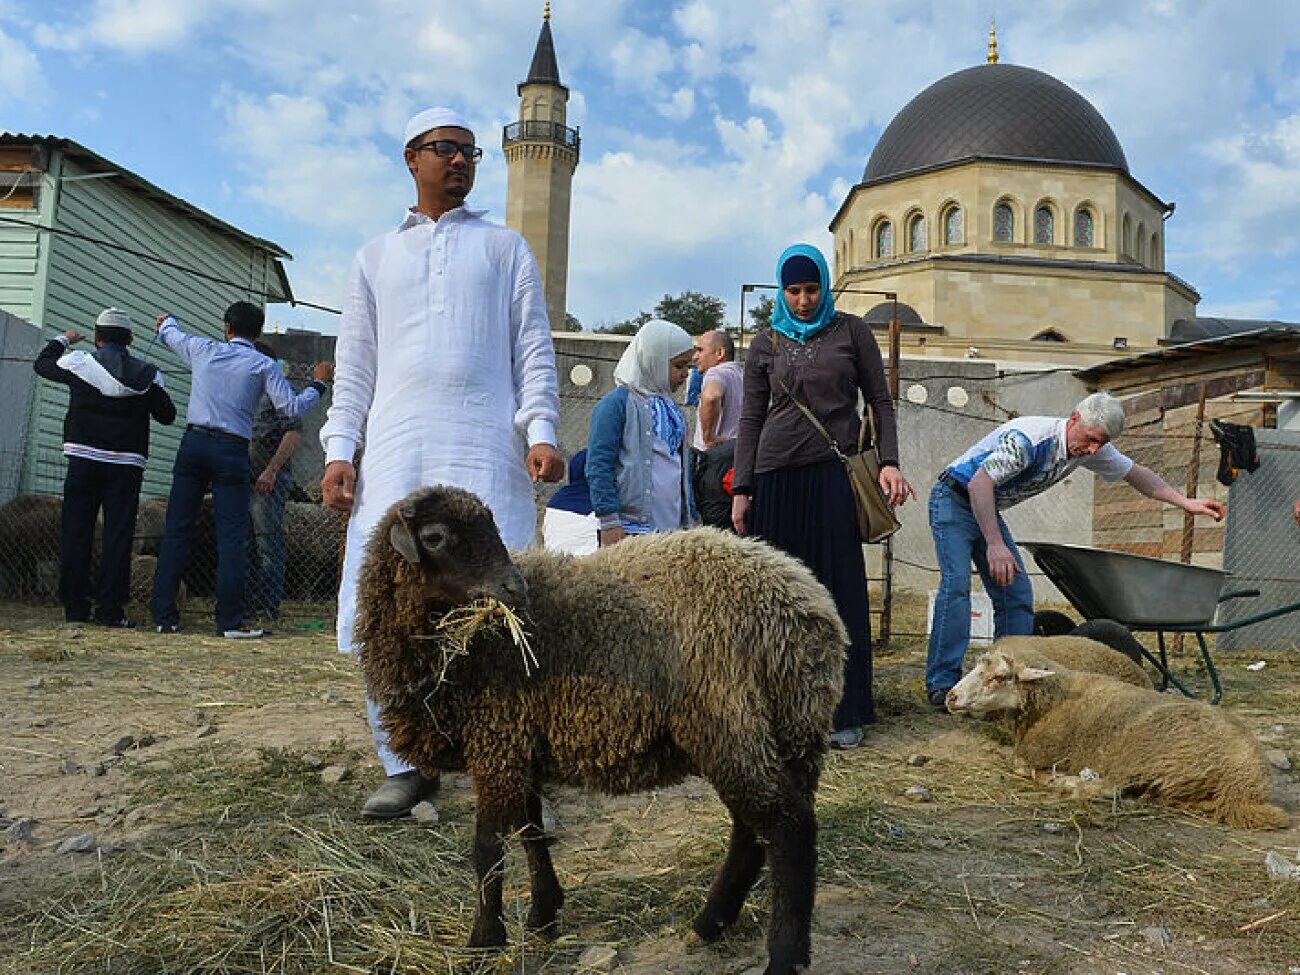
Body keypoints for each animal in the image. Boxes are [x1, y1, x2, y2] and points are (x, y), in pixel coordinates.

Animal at [353, 486, 852, 972]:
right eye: (435, 537)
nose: (514, 587)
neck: (463, 648)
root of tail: (812, 612)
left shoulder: (496, 742)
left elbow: (487, 849)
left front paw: (484, 941)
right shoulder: (519, 742)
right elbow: (531, 831)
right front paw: (544, 912)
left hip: (732, 725)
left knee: (788, 830)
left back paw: (783, 956)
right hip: (783, 733)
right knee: (753, 832)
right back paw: (711, 922)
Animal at [946, 650, 1289, 832]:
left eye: (1000, 677)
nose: (951, 697)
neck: (1055, 699)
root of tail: (1245, 785)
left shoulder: (1038, 751)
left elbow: (1015, 761)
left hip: (1144, 755)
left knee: (1109, 789)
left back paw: (1065, 782)